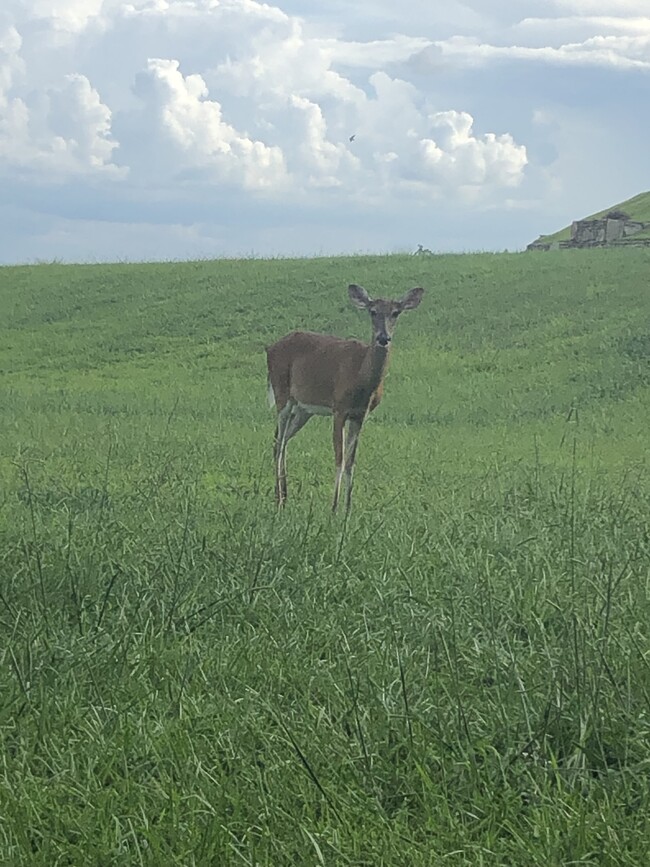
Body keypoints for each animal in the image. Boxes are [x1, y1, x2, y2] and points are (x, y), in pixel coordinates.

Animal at [266, 284, 422, 512]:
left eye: (396, 312)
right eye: (372, 311)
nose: (383, 338)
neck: (361, 378)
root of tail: (270, 347)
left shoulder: (360, 415)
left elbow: (351, 462)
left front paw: (348, 508)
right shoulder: (339, 408)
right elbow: (339, 458)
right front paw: (333, 508)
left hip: (303, 409)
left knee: (282, 440)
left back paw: (283, 496)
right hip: (282, 394)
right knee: (278, 442)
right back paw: (279, 500)